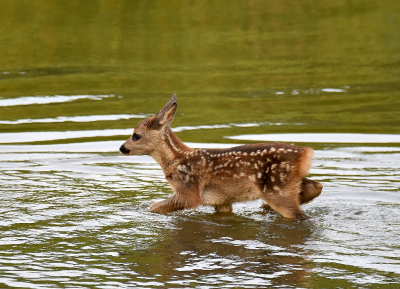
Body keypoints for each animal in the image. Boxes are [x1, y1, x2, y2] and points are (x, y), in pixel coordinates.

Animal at [119, 94, 322, 218]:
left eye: (136, 135)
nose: (122, 148)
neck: (176, 161)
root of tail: (305, 152)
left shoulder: (188, 190)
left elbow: (155, 207)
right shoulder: (221, 201)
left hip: (276, 188)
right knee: (316, 186)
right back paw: (265, 209)